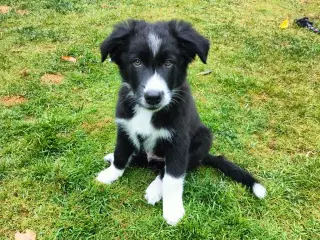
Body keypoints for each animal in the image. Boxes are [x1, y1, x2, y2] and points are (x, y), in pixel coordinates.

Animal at [96, 19, 266, 226]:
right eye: (136, 62)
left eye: (169, 63)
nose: (153, 97)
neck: (149, 113)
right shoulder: (124, 128)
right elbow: (121, 154)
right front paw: (111, 174)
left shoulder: (178, 141)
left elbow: (173, 178)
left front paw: (172, 210)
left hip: (203, 139)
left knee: (169, 170)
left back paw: (155, 189)